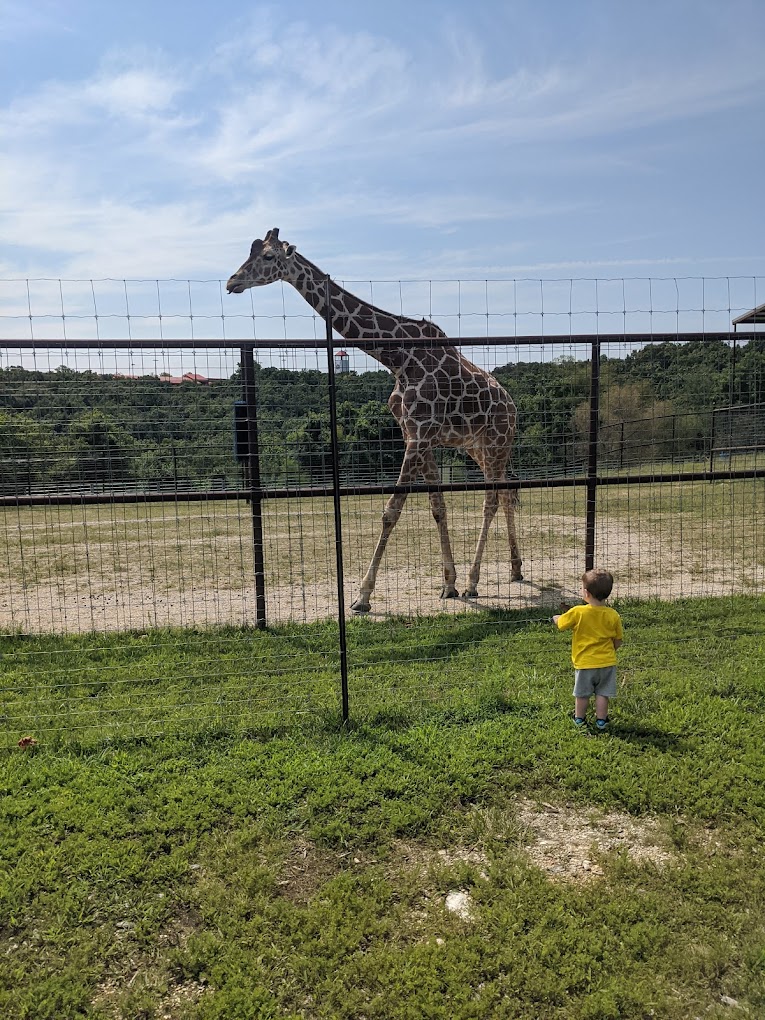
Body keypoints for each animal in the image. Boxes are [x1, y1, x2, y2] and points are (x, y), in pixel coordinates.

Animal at [224, 229, 526, 612]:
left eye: (266, 257)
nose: (232, 281)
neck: (397, 358)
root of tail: (512, 404)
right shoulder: (415, 434)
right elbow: (437, 506)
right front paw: (448, 584)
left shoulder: (420, 434)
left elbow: (391, 511)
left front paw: (363, 595)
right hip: (478, 446)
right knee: (506, 490)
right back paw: (515, 569)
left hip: (498, 439)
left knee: (491, 500)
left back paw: (476, 582)